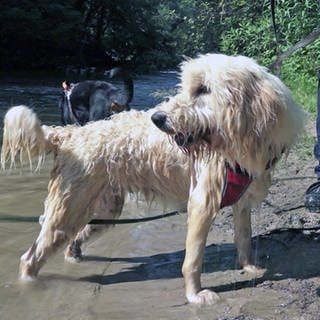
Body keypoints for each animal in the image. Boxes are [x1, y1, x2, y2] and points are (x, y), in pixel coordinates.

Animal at [1, 53, 304, 306]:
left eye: (203, 89)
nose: (157, 118)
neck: (239, 144)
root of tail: (69, 134)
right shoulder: (202, 204)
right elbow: (193, 259)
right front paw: (195, 296)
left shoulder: (242, 203)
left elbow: (244, 239)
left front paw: (249, 268)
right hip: (66, 212)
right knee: (29, 258)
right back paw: (30, 287)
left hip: (103, 212)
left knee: (73, 240)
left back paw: (72, 257)